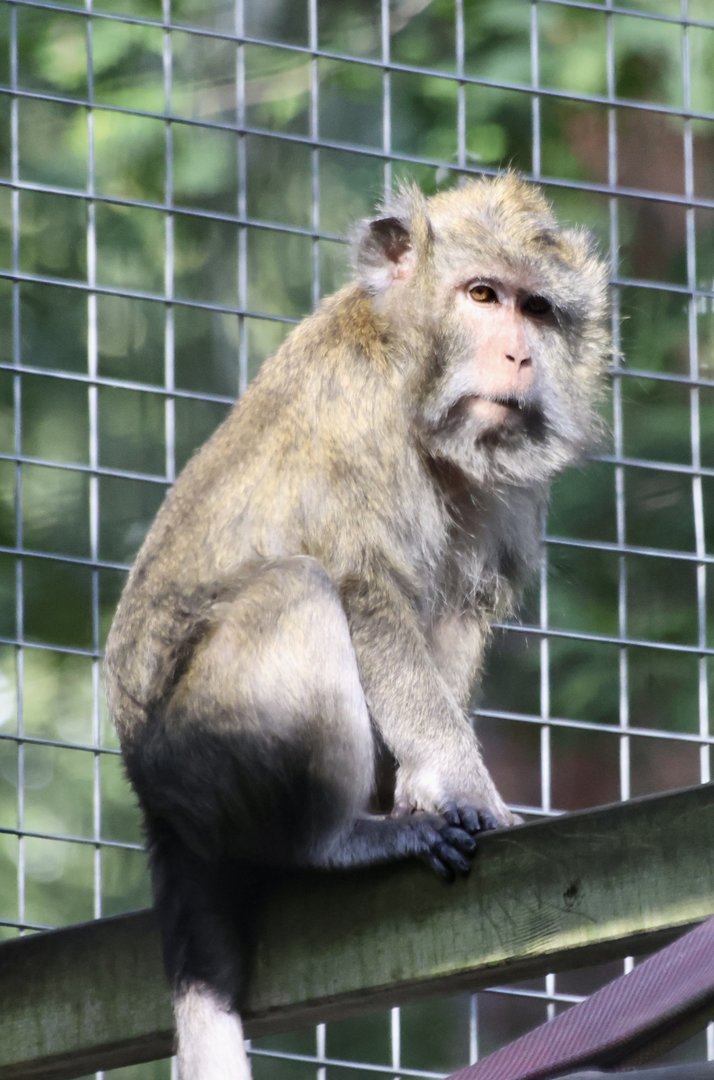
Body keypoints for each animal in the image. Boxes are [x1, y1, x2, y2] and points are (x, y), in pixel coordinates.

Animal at [104, 173, 609, 1080]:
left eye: (538, 309)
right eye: (483, 295)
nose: (518, 357)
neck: (410, 369)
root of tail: (155, 805)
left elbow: (457, 610)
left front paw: (425, 785)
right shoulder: (360, 416)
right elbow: (365, 591)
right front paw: (463, 788)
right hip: (202, 756)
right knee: (298, 592)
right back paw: (335, 839)